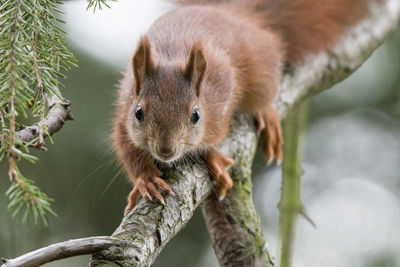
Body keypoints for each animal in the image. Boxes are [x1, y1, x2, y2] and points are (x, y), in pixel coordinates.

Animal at [113, 0, 376, 215]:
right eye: (138, 113)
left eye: (196, 115)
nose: (166, 150)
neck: (171, 57)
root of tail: (236, 13)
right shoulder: (123, 112)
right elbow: (127, 149)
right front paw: (145, 179)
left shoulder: (221, 100)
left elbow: (215, 136)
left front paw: (213, 157)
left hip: (261, 67)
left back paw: (267, 115)